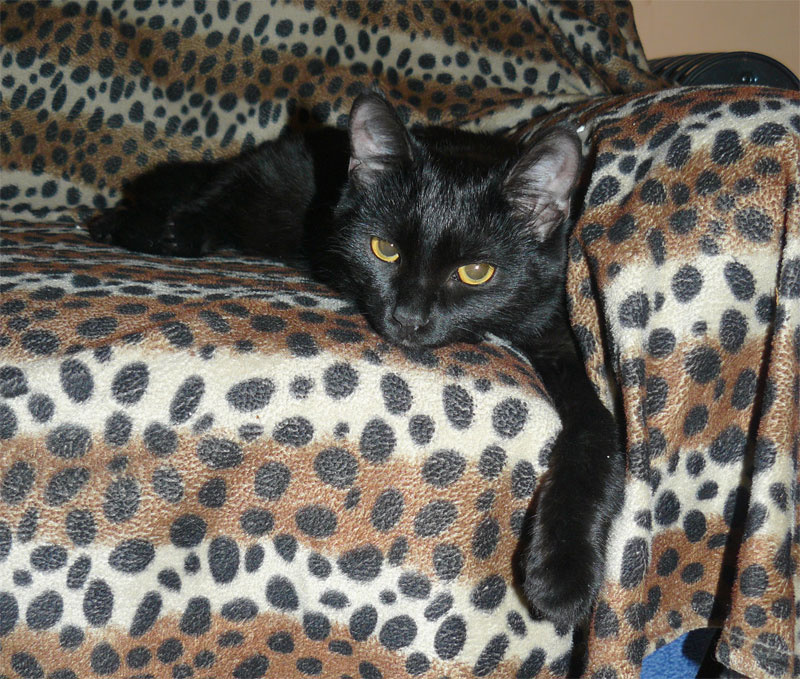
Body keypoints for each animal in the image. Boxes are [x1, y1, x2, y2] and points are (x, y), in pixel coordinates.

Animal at [88, 91, 625, 627]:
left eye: (476, 272)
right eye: (384, 249)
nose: (408, 317)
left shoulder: (555, 327)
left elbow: (599, 430)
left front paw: (563, 574)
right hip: (262, 182)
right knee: (206, 195)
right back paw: (136, 227)